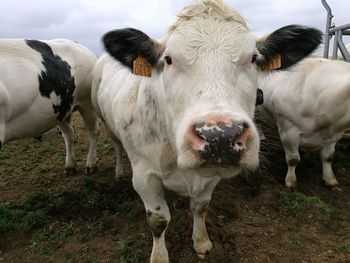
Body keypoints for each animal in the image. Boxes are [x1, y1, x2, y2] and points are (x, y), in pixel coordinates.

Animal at [0, 38, 98, 175]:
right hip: (60, 110)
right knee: (68, 134)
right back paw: (70, 166)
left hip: (87, 102)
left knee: (93, 131)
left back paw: (91, 164)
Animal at [91, 0, 322, 262]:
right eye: (168, 59)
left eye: (254, 58)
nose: (220, 136)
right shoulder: (144, 176)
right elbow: (159, 221)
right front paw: (159, 256)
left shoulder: (212, 174)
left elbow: (200, 207)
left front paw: (201, 241)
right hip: (104, 121)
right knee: (117, 146)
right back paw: (119, 170)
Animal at [256, 58, 350, 190]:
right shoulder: (288, 130)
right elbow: (293, 159)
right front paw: (291, 181)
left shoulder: (334, 135)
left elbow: (328, 157)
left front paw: (330, 179)